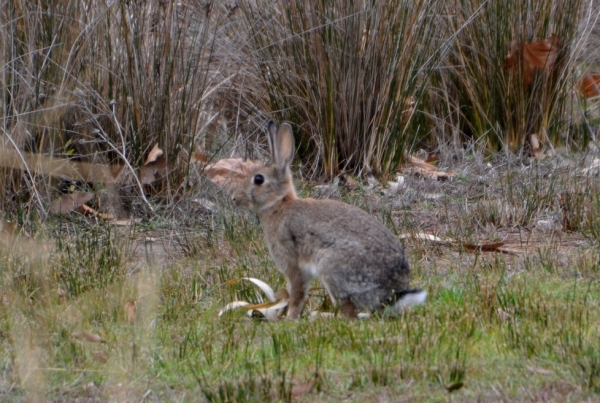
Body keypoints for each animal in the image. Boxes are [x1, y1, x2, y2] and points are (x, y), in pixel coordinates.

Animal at [233, 120, 426, 318]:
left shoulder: (294, 265)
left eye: (258, 179)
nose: (234, 198)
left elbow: (297, 294)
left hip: (332, 269)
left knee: (349, 312)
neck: (279, 203)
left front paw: (290, 317)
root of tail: (390, 295)